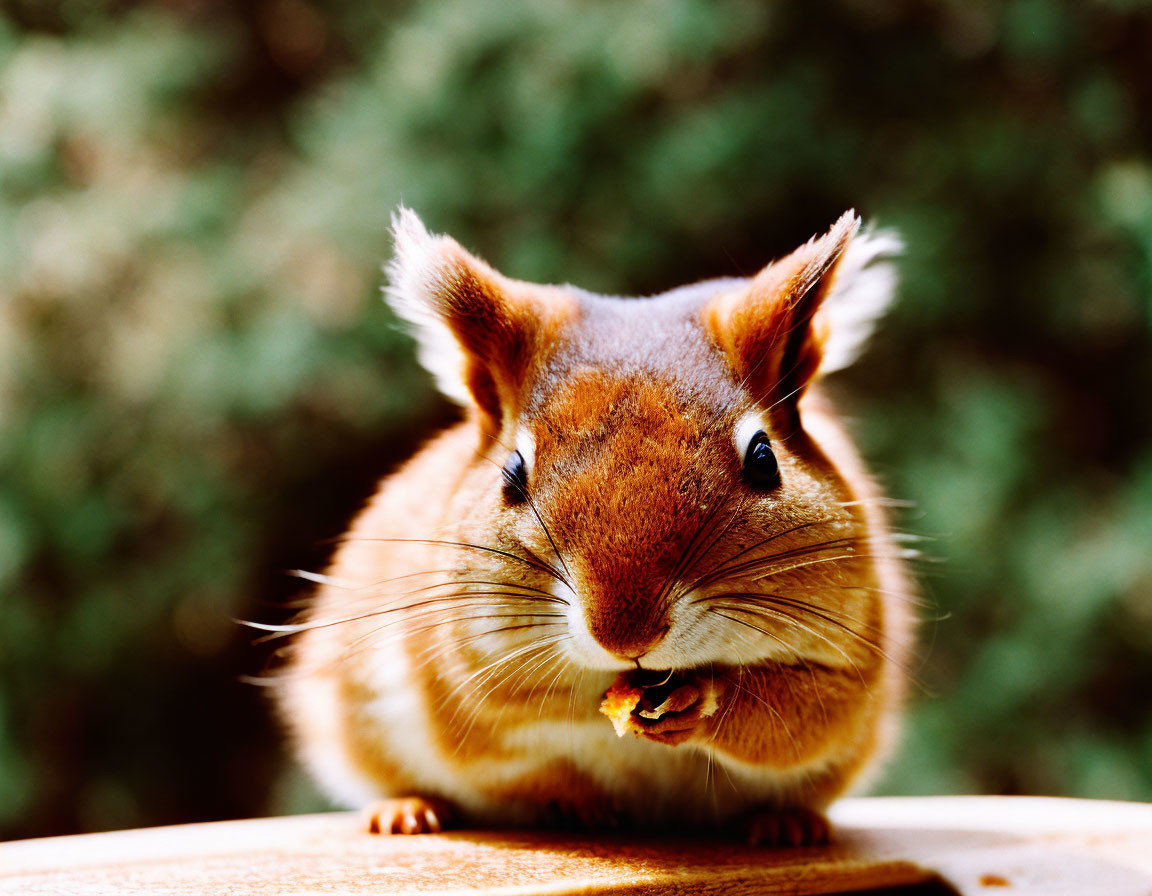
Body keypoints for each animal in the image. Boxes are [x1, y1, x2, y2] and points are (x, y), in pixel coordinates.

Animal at [274, 209, 912, 843]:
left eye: (764, 458)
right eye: (512, 473)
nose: (625, 636)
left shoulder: (853, 662)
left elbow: (802, 720)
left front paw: (701, 699)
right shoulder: (459, 675)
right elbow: (510, 727)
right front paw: (577, 800)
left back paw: (787, 822)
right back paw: (407, 809)